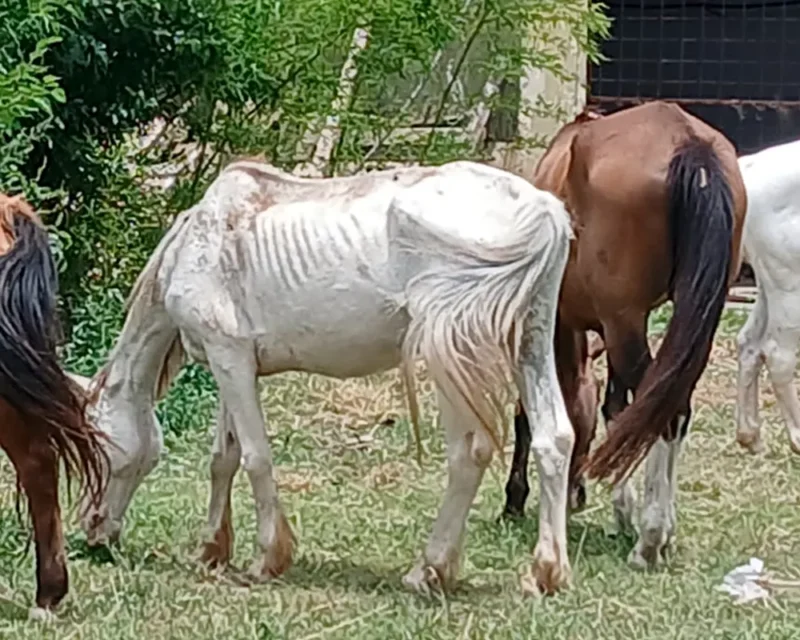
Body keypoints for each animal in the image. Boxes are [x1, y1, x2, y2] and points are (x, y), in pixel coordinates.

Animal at [78, 159, 578, 595]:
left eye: (97, 451)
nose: (94, 533)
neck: (203, 240)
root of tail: (543, 210)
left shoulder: (229, 359)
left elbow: (255, 457)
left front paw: (268, 557)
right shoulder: (230, 362)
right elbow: (224, 456)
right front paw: (211, 550)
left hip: (452, 355)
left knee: (468, 454)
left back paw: (429, 569)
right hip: (530, 342)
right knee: (554, 438)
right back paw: (545, 573)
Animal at [501, 101, 747, 569]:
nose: (576, 493)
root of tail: (688, 143)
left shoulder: (564, 324)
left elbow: (536, 409)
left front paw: (517, 497)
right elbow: (617, 410)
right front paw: (621, 509)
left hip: (623, 322)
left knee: (665, 412)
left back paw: (650, 540)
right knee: (670, 406)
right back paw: (660, 530)